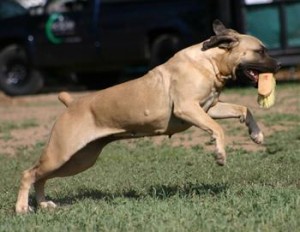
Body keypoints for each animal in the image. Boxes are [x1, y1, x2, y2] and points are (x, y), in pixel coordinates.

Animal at [15, 20, 278, 213]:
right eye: (260, 51)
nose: (279, 65)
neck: (209, 61)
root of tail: (72, 103)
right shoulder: (188, 109)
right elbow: (218, 128)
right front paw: (220, 153)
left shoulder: (208, 109)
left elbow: (243, 110)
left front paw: (256, 134)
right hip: (60, 154)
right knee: (29, 173)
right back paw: (22, 208)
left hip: (79, 160)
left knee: (40, 177)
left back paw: (43, 204)